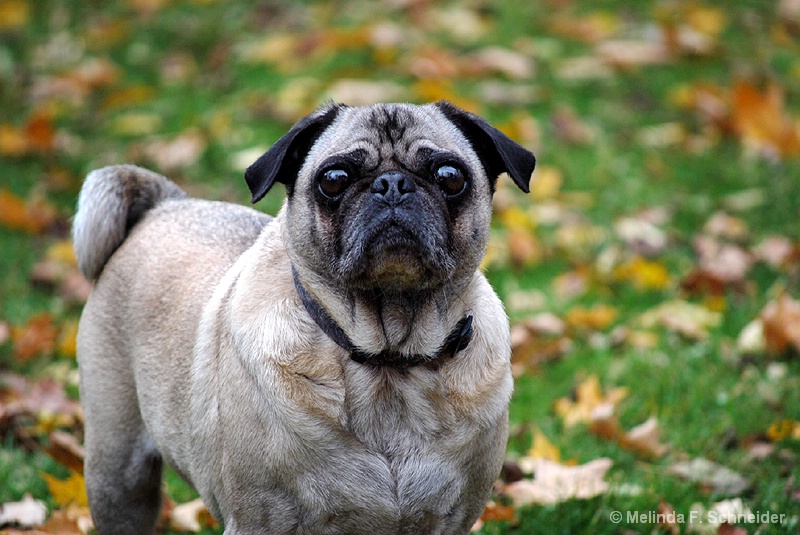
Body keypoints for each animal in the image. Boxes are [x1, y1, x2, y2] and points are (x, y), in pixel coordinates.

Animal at [73, 101, 536, 535]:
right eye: (334, 179)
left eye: (450, 176)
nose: (392, 184)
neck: (389, 360)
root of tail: (164, 204)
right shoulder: (258, 521)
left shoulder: (451, 521)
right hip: (117, 474)